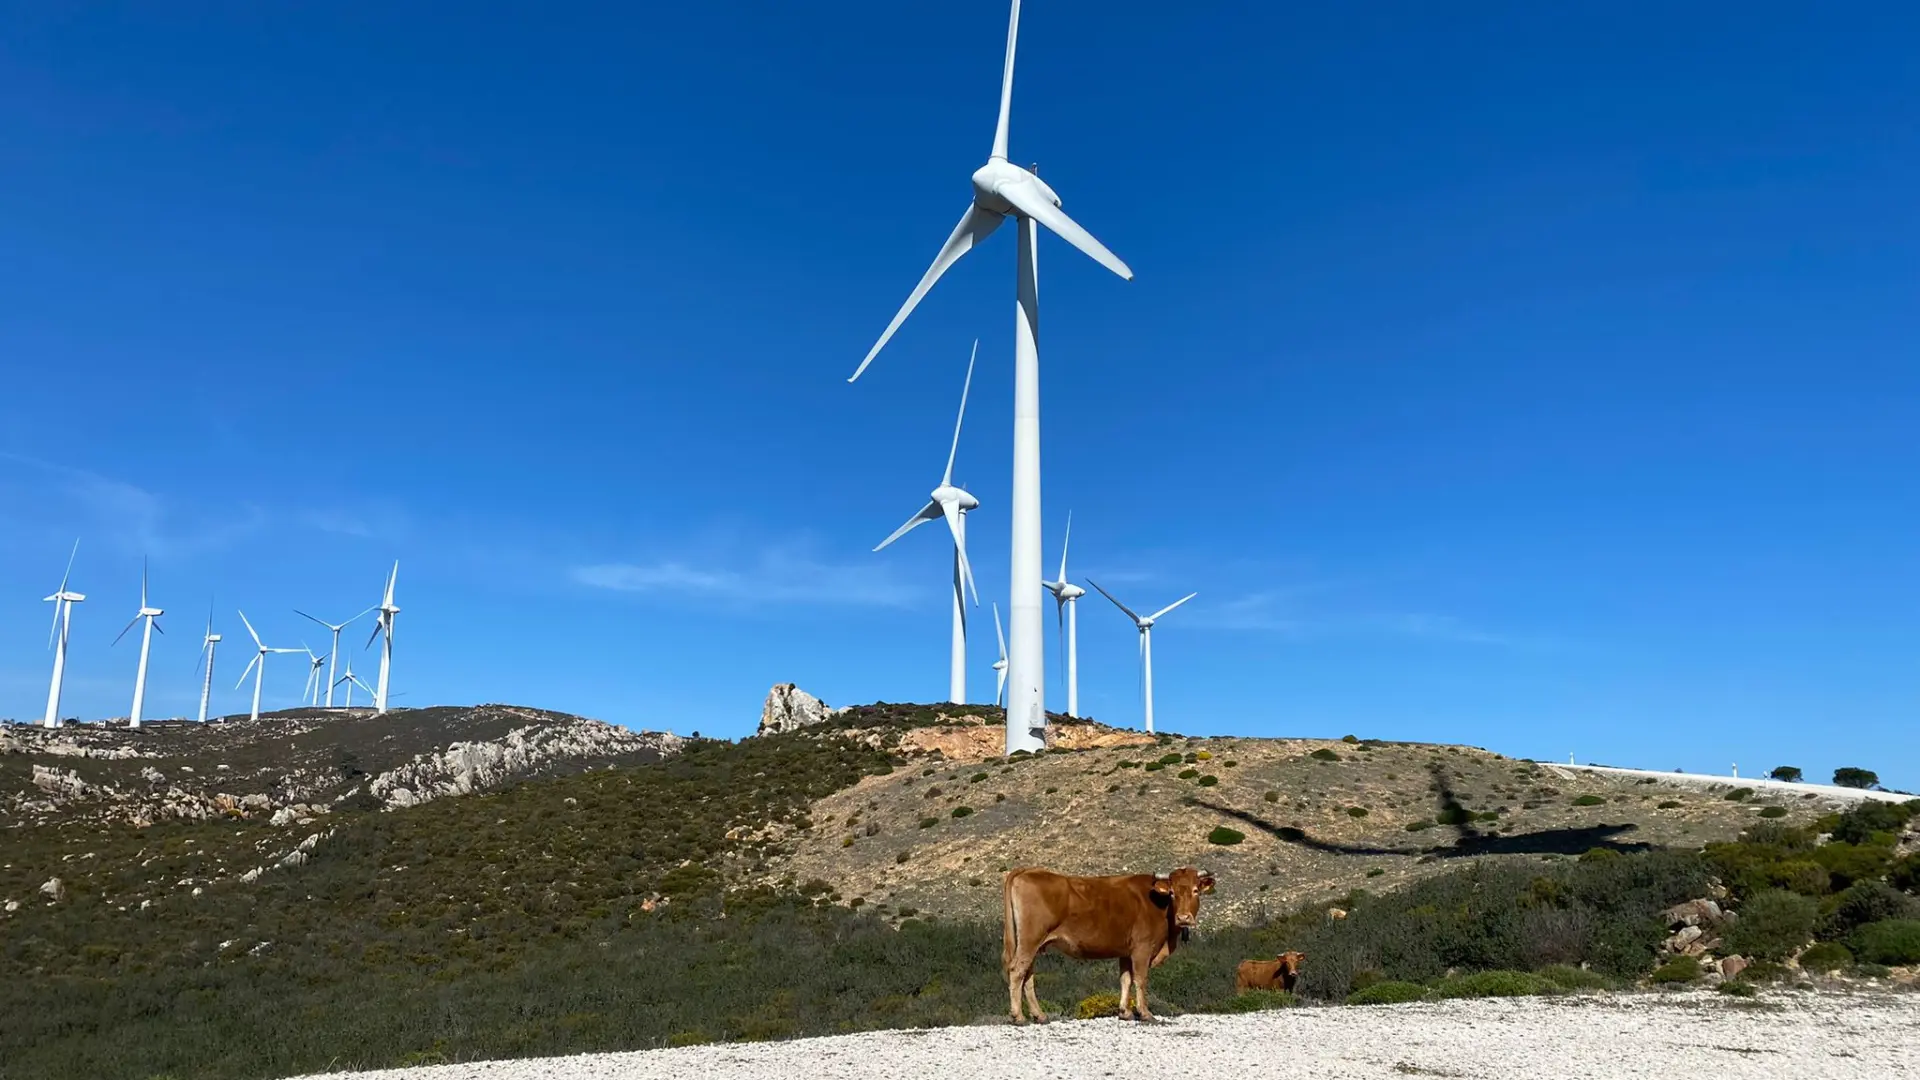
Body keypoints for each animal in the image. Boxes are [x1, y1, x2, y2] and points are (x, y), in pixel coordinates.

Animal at [1006, 860, 1213, 1022]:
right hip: (1030, 940)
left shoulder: (1126, 952)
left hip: (1033, 944)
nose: (1183, 918)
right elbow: (1140, 979)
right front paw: (1145, 1013)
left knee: (1028, 975)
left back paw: (1039, 1015)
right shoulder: (1142, 949)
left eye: (1196, 890)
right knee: (1017, 971)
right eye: (1172, 893)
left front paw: (1125, 1012)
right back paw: (1018, 1016)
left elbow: (1125, 979)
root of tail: (1029, 870)